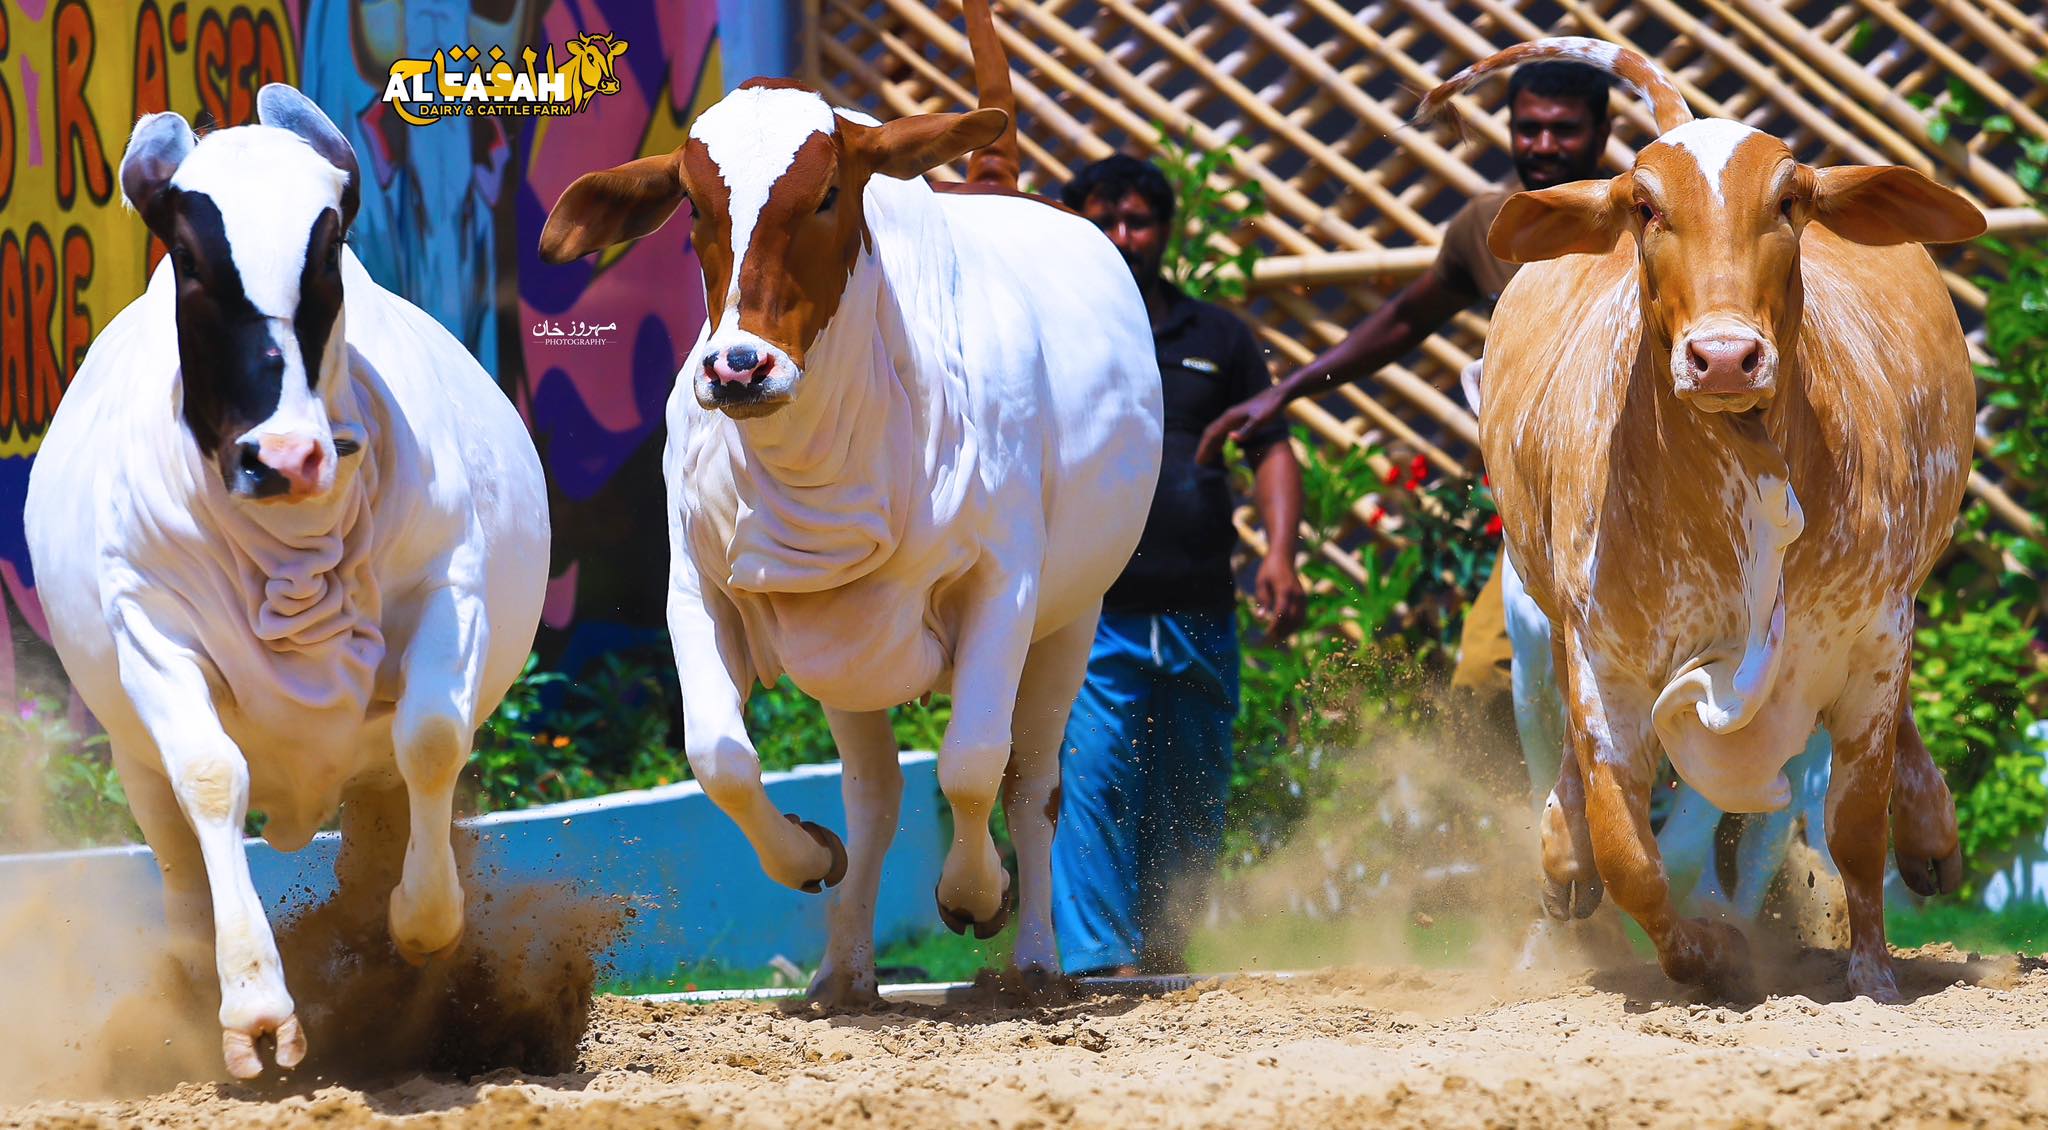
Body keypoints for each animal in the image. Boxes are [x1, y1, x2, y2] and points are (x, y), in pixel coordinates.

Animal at [24, 84, 549, 1076]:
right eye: (191, 259)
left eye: (329, 245)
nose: (288, 454)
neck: (295, 547)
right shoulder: (150, 625)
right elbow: (210, 777)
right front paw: (254, 1005)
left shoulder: (449, 589)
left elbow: (431, 740)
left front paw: (420, 924)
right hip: (131, 756)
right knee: (177, 853)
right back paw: (197, 969)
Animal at [535, 0, 1161, 1004]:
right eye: (694, 208)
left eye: (828, 193)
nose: (738, 367)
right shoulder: (698, 591)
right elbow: (722, 759)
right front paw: (806, 858)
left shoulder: (1008, 590)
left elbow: (974, 763)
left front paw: (974, 894)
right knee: (874, 796)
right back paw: (844, 971)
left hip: (1074, 619)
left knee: (1032, 783)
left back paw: (1032, 960)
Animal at [1420, 38, 1981, 1000]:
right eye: (1645, 207)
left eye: (1790, 201)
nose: (1724, 357)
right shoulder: (1606, 664)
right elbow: (1635, 858)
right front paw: (1710, 954)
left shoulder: (1872, 644)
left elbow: (1852, 827)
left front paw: (1872, 972)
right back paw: (1565, 854)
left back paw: (1929, 833)